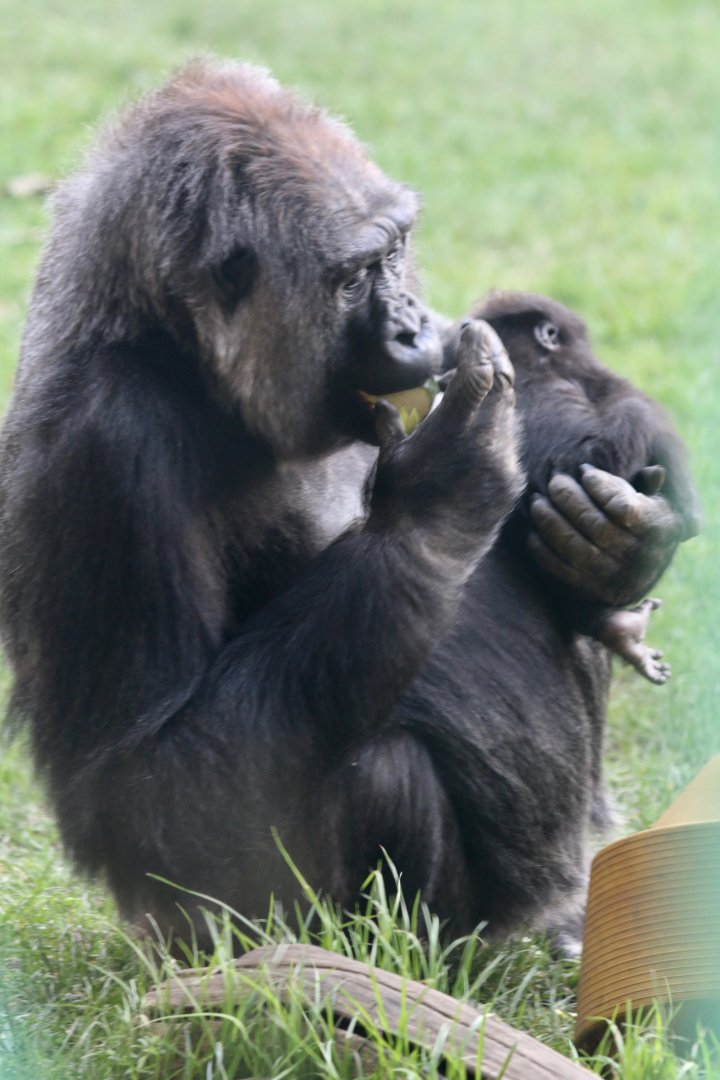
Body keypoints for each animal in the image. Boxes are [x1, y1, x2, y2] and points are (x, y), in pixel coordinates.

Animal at [0, 61, 693, 954]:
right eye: (354, 276)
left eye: (395, 252)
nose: (413, 327)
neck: (168, 343)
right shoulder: (105, 445)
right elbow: (147, 787)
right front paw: (442, 488)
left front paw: (614, 552)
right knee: (375, 770)